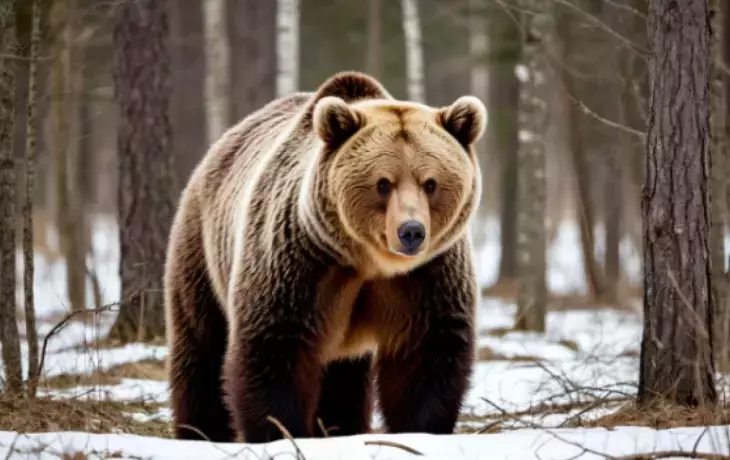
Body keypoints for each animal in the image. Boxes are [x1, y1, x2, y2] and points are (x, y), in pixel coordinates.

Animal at [163, 71, 486, 444]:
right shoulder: (301, 260)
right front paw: (281, 430)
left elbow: (426, 354)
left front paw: (421, 430)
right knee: (201, 344)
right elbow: (275, 347)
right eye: (383, 183)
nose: (411, 231)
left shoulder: (427, 275)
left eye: (430, 183)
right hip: (201, 248)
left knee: (343, 379)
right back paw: (201, 431)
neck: (368, 262)